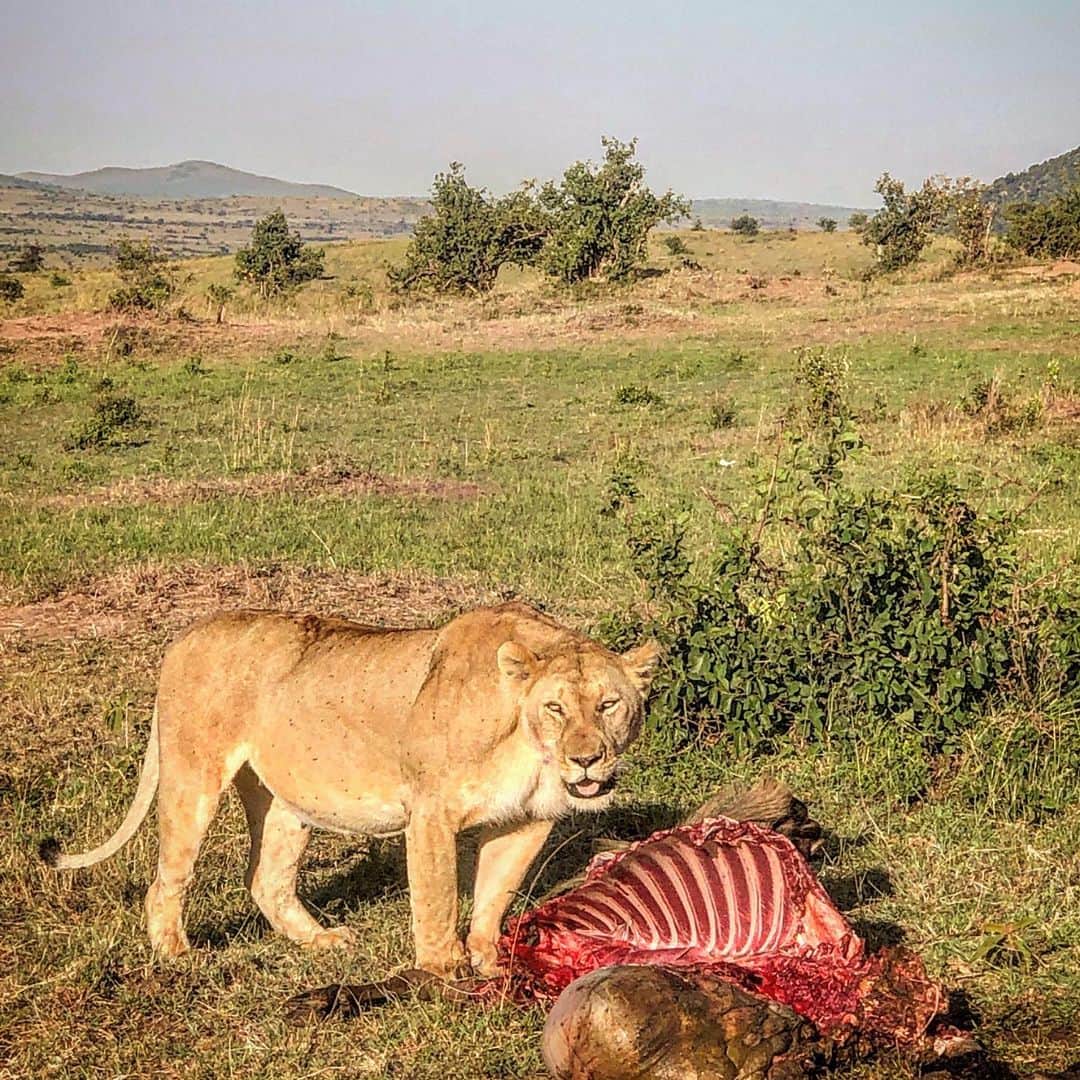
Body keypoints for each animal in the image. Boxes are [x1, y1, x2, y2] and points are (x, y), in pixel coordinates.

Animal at [43, 602, 660, 978]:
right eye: (555, 708)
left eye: (609, 704)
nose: (586, 760)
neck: (528, 745)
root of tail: (185, 635)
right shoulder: (431, 812)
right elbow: (438, 896)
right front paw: (443, 971)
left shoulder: (527, 821)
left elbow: (493, 896)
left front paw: (488, 962)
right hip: (194, 778)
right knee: (168, 878)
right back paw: (176, 953)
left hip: (285, 799)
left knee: (266, 878)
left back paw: (320, 942)